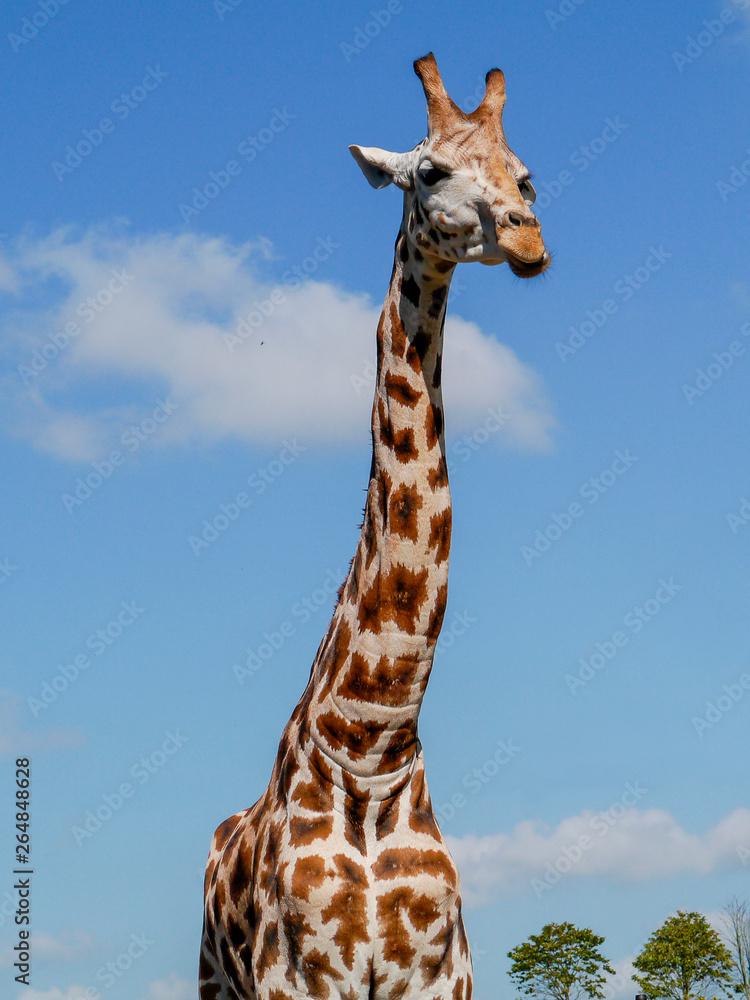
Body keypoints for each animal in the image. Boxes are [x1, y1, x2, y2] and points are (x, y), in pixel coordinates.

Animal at [200, 52, 549, 1000]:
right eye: (429, 170)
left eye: (524, 173)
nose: (529, 240)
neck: (373, 740)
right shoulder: (295, 975)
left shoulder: (440, 974)